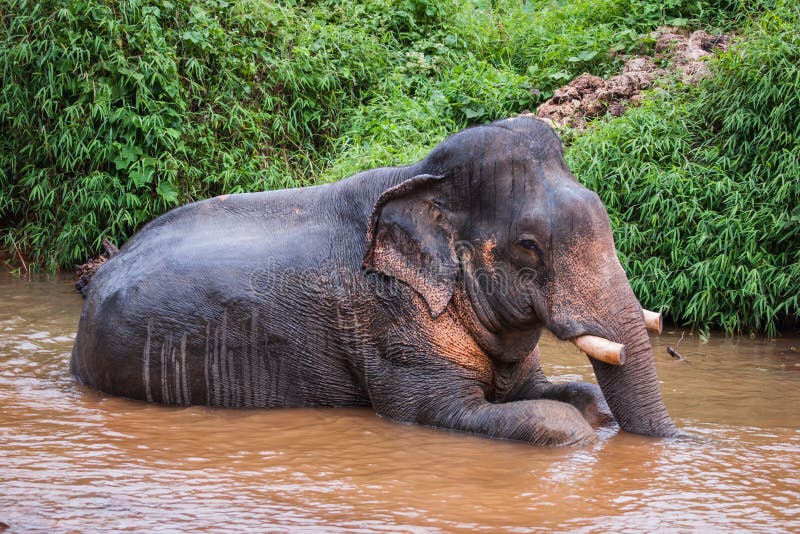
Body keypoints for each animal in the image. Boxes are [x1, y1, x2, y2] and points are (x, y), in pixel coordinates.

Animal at [73, 117, 676, 448]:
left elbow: (572, 396)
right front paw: (577, 434)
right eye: (529, 245)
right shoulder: (388, 320)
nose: (679, 442)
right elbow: (496, 417)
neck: (420, 177)